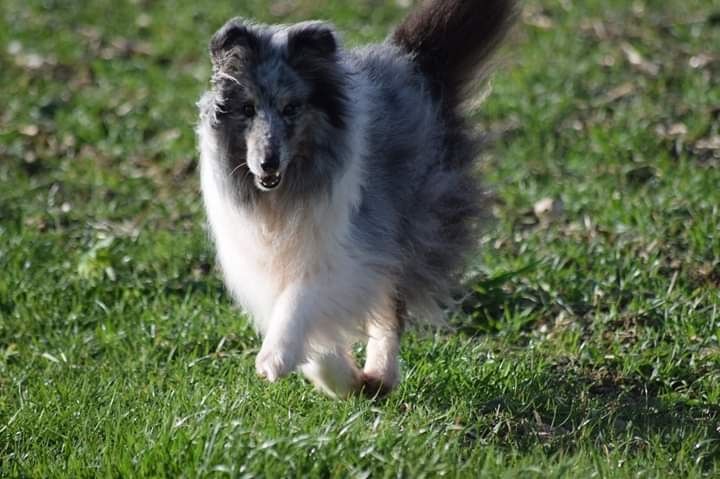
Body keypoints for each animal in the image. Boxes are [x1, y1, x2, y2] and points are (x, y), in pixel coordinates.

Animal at [195, 0, 512, 398]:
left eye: (291, 108)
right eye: (247, 109)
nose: (268, 163)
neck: (287, 192)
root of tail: (413, 63)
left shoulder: (351, 250)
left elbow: (301, 300)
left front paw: (275, 358)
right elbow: (312, 331)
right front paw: (338, 379)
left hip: (411, 227)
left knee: (390, 311)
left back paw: (380, 373)